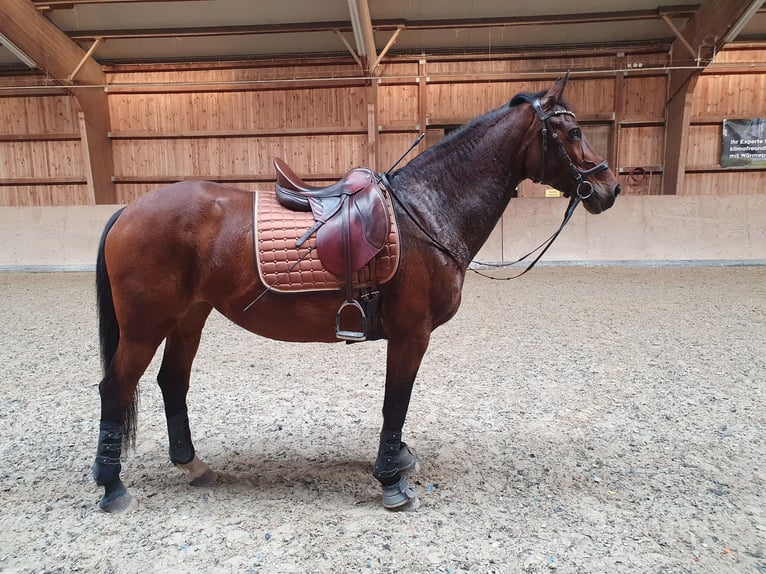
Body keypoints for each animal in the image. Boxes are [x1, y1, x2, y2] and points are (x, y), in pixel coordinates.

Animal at [93, 75, 620, 512]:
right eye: (573, 132)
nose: (609, 188)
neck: (424, 212)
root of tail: (129, 209)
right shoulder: (412, 334)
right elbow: (396, 402)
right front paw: (392, 481)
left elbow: (396, 405)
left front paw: (398, 459)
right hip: (145, 326)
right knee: (115, 387)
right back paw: (112, 485)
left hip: (189, 318)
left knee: (172, 382)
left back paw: (191, 463)